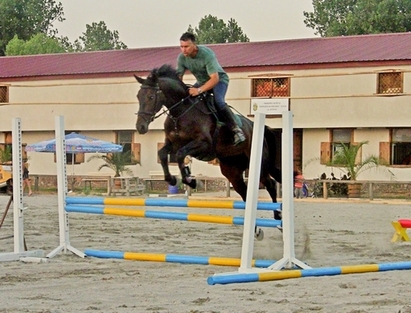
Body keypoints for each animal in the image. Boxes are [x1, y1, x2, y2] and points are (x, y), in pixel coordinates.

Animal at [135, 64, 284, 207]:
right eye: (138, 96)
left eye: (151, 97)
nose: (140, 127)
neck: (181, 113)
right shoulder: (173, 144)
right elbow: (162, 154)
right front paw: (171, 179)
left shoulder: (203, 144)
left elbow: (180, 155)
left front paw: (190, 180)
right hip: (232, 169)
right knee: (244, 190)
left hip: (259, 163)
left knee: (269, 184)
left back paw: (277, 212)